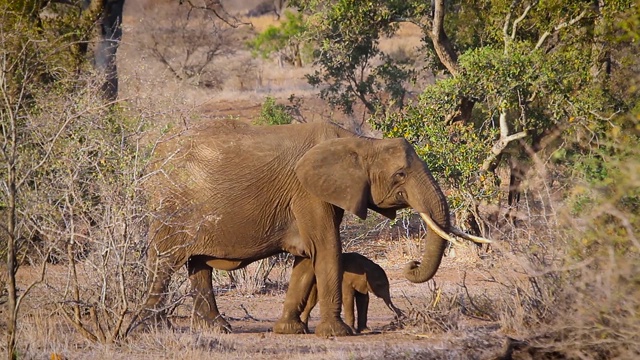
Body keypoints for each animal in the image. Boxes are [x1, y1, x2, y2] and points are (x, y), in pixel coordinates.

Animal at [134, 119, 484, 336]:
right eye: (400, 175)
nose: (411, 265)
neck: (360, 142)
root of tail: (152, 160)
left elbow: (306, 257)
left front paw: (290, 330)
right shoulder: (308, 192)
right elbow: (326, 248)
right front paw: (337, 334)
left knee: (199, 267)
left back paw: (216, 328)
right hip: (171, 206)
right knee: (164, 262)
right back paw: (150, 328)